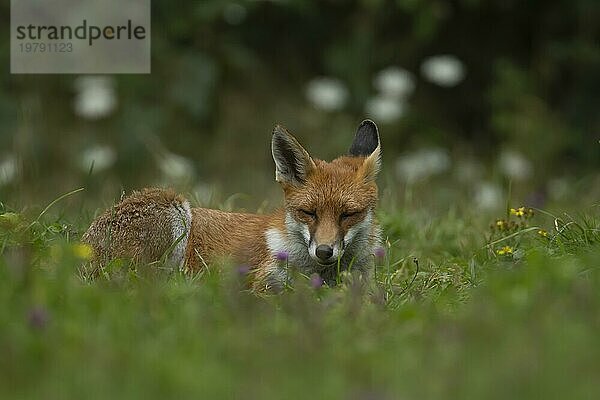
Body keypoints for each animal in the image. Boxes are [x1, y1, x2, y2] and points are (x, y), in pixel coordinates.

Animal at [82, 119, 382, 290]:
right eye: (308, 212)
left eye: (348, 214)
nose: (324, 251)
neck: (325, 275)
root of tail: (81, 246)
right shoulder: (263, 285)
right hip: (174, 210)